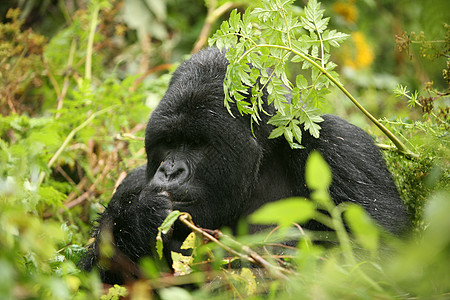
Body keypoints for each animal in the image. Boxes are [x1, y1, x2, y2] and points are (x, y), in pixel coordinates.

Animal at [79, 47, 410, 284]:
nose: (170, 171)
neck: (262, 162)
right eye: (169, 142)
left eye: (196, 143)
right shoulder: (132, 184)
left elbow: (380, 259)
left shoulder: (345, 151)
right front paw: (137, 221)